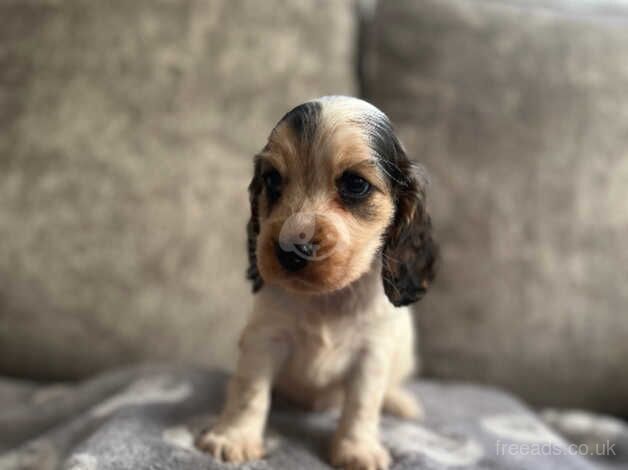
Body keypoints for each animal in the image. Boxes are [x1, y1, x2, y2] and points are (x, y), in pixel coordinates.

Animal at [196, 96, 436, 470]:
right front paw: (234, 437)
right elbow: (250, 391)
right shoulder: (265, 339)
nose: (290, 250)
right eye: (272, 179)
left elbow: (362, 405)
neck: (326, 298)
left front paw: (357, 450)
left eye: (355, 184)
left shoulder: (372, 353)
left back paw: (401, 402)